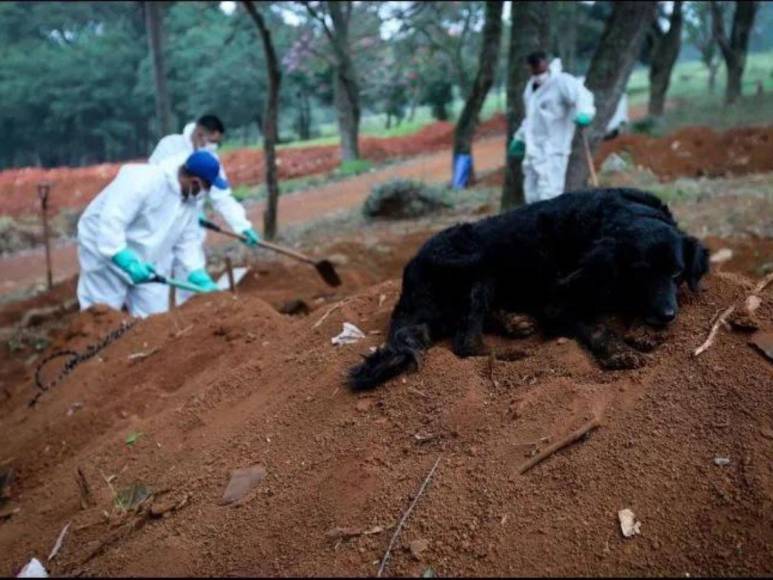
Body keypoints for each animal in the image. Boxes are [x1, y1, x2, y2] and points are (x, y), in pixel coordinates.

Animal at [346, 188, 708, 392]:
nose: (667, 315)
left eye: (677, 273)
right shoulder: (559, 302)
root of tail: (410, 273)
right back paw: (509, 352)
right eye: (640, 273)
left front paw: (643, 329)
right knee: (466, 344)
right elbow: (597, 327)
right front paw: (619, 352)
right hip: (480, 268)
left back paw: (514, 321)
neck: (614, 216)